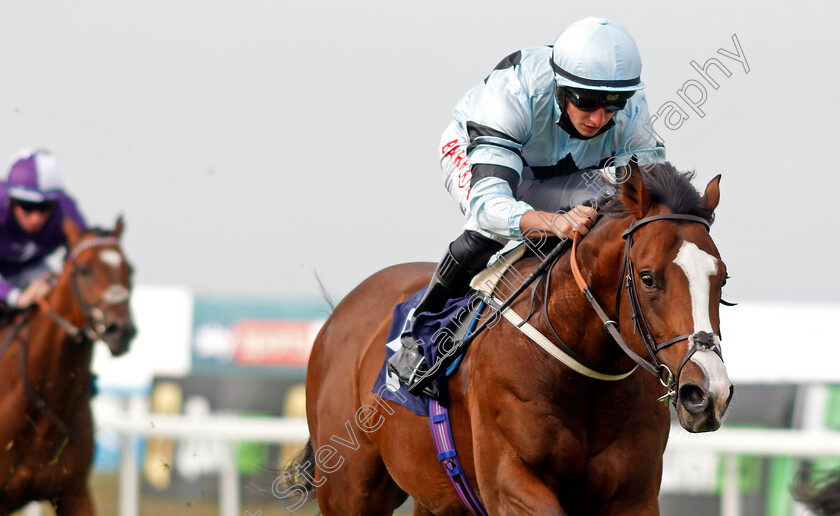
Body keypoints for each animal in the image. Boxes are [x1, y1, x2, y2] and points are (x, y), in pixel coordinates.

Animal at [292, 160, 732, 512]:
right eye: (647, 277)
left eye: (722, 279)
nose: (708, 393)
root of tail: (339, 316)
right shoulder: (511, 482)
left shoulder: (633, 495)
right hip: (350, 489)